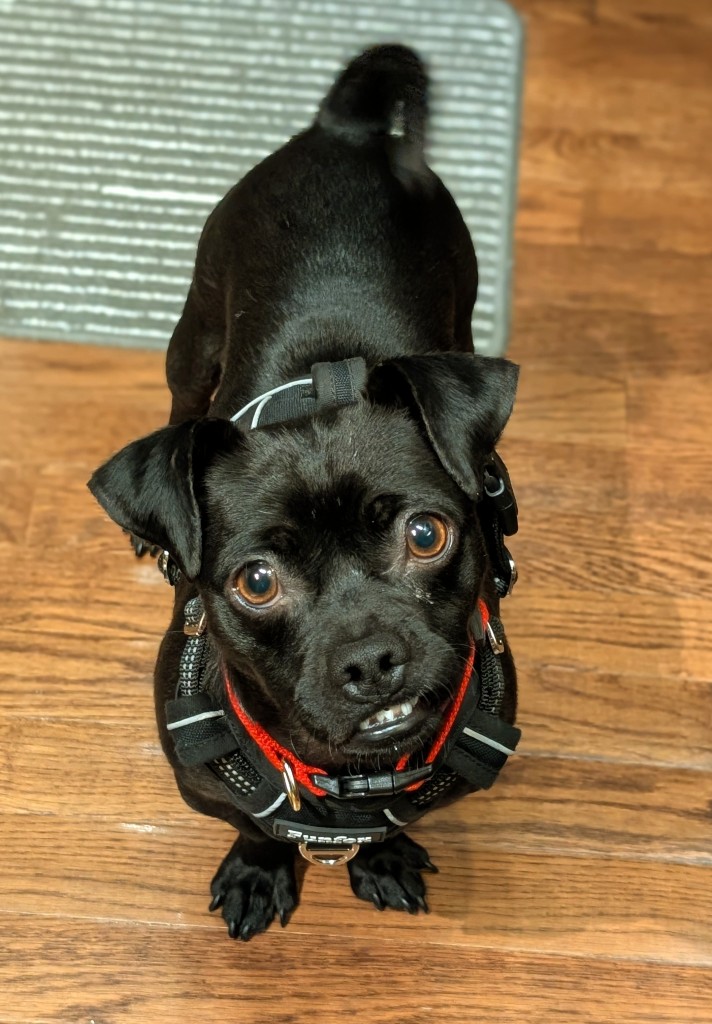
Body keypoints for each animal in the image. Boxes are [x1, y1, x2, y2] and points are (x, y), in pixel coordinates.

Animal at [89, 44, 520, 941]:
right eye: (256, 582)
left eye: (427, 535)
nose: (371, 658)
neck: (349, 779)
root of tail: (344, 129)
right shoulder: (217, 791)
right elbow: (258, 823)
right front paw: (261, 869)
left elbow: (389, 825)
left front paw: (380, 857)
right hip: (194, 339)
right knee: (182, 397)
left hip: (459, 309)